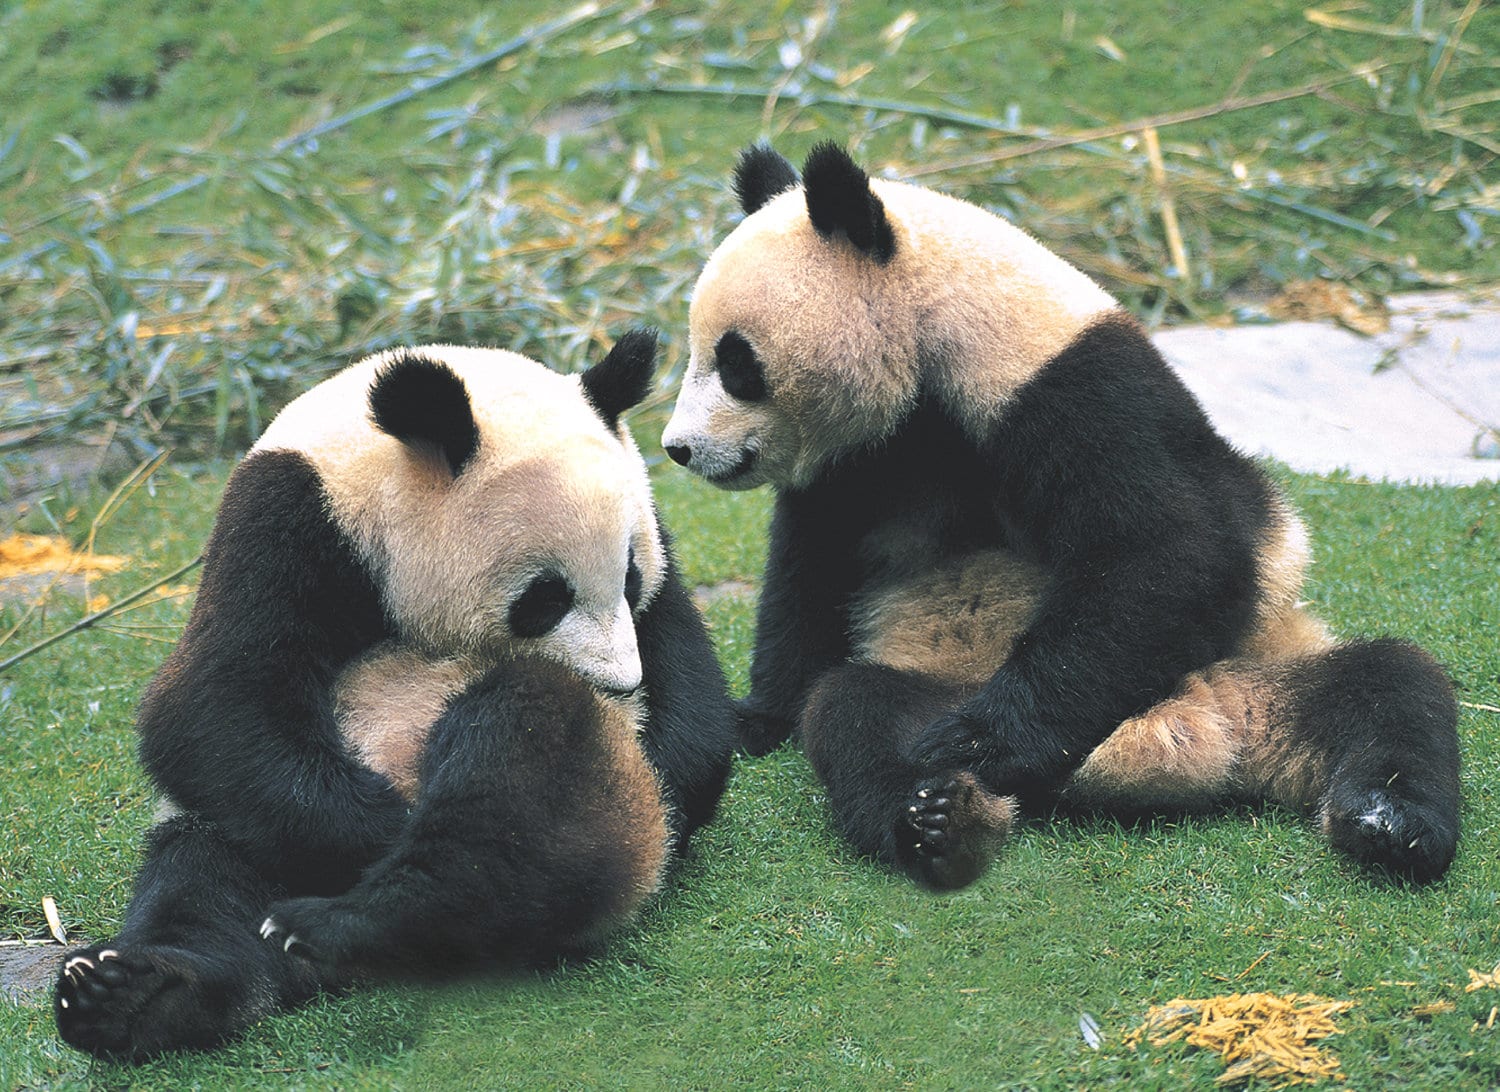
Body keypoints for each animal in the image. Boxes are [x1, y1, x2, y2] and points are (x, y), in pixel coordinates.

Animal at [54, 331, 737, 1060]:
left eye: (630, 576)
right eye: (546, 598)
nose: (620, 686)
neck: (364, 472)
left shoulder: (656, 543)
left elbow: (689, 685)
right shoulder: (283, 527)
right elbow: (210, 709)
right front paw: (385, 824)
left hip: (606, 787)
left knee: (514, 765)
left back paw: (356, 919)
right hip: (237, 836)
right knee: (201, 881)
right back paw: (140, 993)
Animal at [662, 141, 1460, 892]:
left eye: (736, 364)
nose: (679, 448)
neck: (934, 328)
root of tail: (1178, 738)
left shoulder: (1068, 388)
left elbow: (1174, 551)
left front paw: (986, 740)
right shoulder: (858, 460)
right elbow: (810, 576)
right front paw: (759, 716)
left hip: (1256, 666)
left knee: (1394, 689)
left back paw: (1391, 823)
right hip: (940, 681)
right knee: (857, 715)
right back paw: (937, 817)